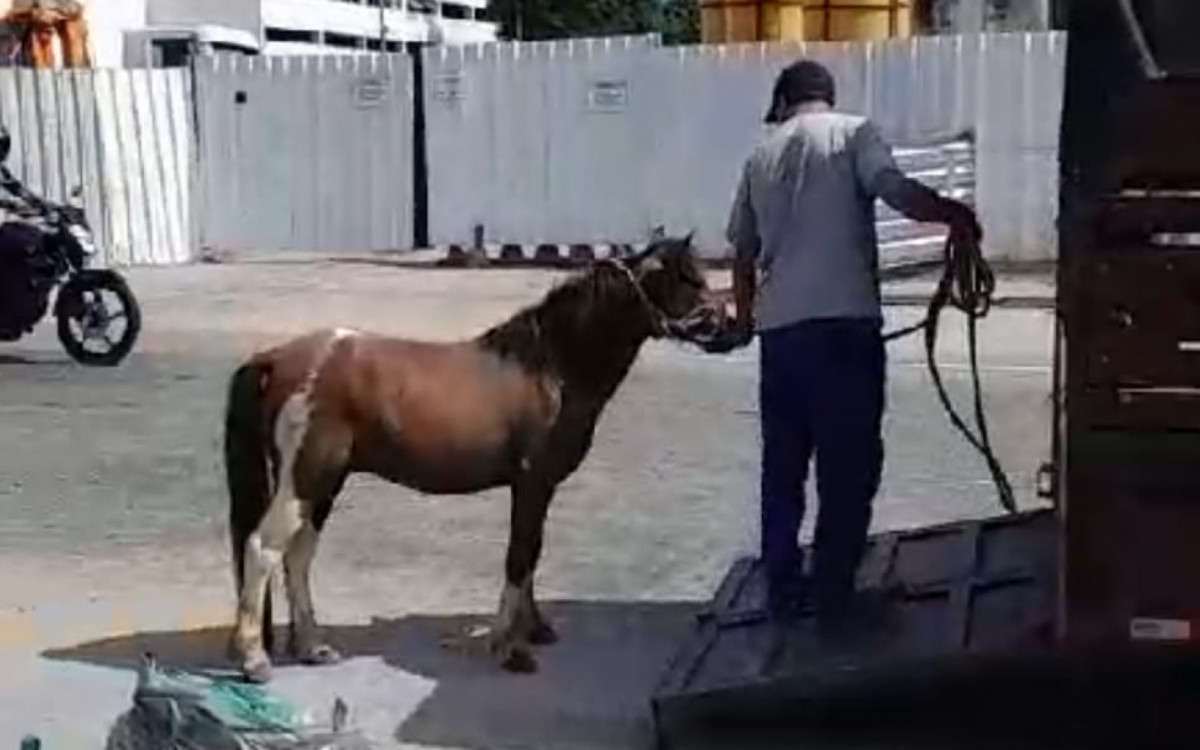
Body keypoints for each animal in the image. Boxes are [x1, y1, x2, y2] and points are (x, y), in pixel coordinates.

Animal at [223, 235, 726, 682]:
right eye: (687, 278)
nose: (726, 323)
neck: (550, 370)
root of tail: (275, 358)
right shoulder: (532, 483)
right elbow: (519, 557)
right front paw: (509, 648)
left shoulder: (537, 488)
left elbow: (532, 554)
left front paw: (534, 629)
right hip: (306, 478)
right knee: (263, 548)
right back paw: (255, 660)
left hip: (325, 482)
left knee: (298, 556)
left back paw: (313, 647)